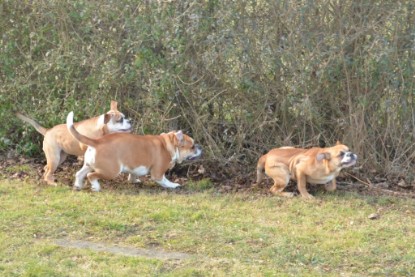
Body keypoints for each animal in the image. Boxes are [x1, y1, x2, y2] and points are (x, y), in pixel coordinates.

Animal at [66, 111, 202, 191]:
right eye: (192, 146)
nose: (200, 147)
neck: (167, 144)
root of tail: (97, 141)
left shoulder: (135, 167)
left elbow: (133, 174)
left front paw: (134, 180)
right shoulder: (157, 173)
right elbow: (164, 180)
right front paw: (173, 185)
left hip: (88, 165)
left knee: (79, 174)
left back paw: (78, 185)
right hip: (111, 171)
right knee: (91, 175)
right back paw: (96, 187)